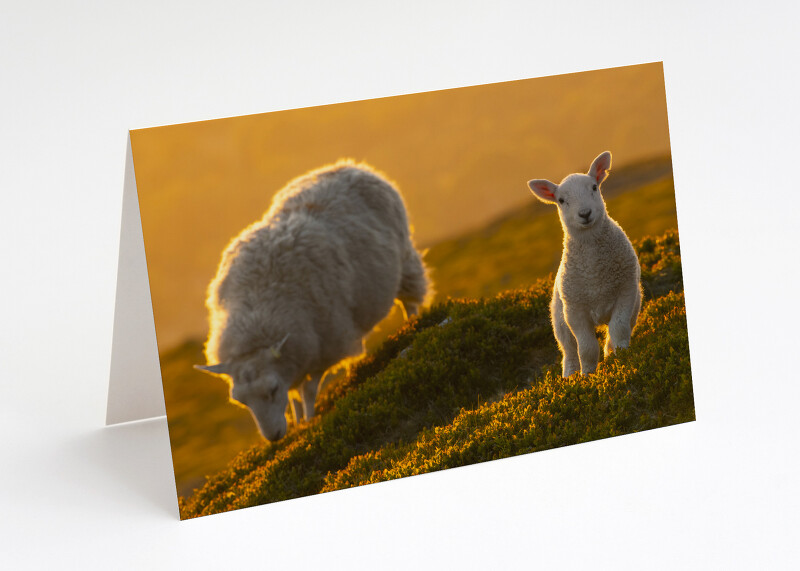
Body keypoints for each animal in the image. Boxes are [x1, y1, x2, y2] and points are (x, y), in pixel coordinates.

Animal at [195, 161, 428, 442]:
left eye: (272, 389)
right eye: (241, 401)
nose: (274, 437)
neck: (256, 308)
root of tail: (348, 165)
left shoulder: (324, 347)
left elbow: (307, 391)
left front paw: (308, 421)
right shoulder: (295, 357)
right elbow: (294, 395)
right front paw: (297, 423)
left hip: (404, 260)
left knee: (410, 301)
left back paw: (411, 327)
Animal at [532, 150, 644, 378]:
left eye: (594, 187)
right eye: (561, 200)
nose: (584, 213)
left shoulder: (625, 293)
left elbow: (618, 330)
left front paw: (622, 357)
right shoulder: (575, 311)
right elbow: (586, 347)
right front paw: (588, 375)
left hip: (636, 304)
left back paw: (610, 354)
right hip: (559, 321)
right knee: (568, 350)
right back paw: (570, 376)